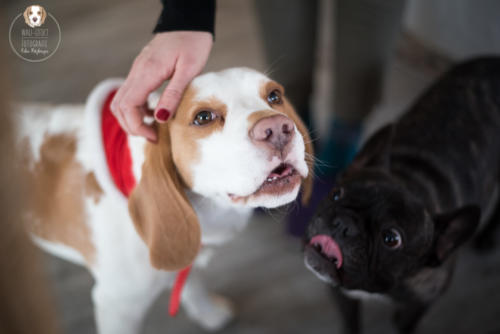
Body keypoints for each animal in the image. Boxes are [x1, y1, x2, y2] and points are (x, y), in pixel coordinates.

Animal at [15, 68, 312, 334]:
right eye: (203, 117)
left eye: (274, 96)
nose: (277, 129)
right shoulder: (118, 306)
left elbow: (191, 281)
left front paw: (209, 314)